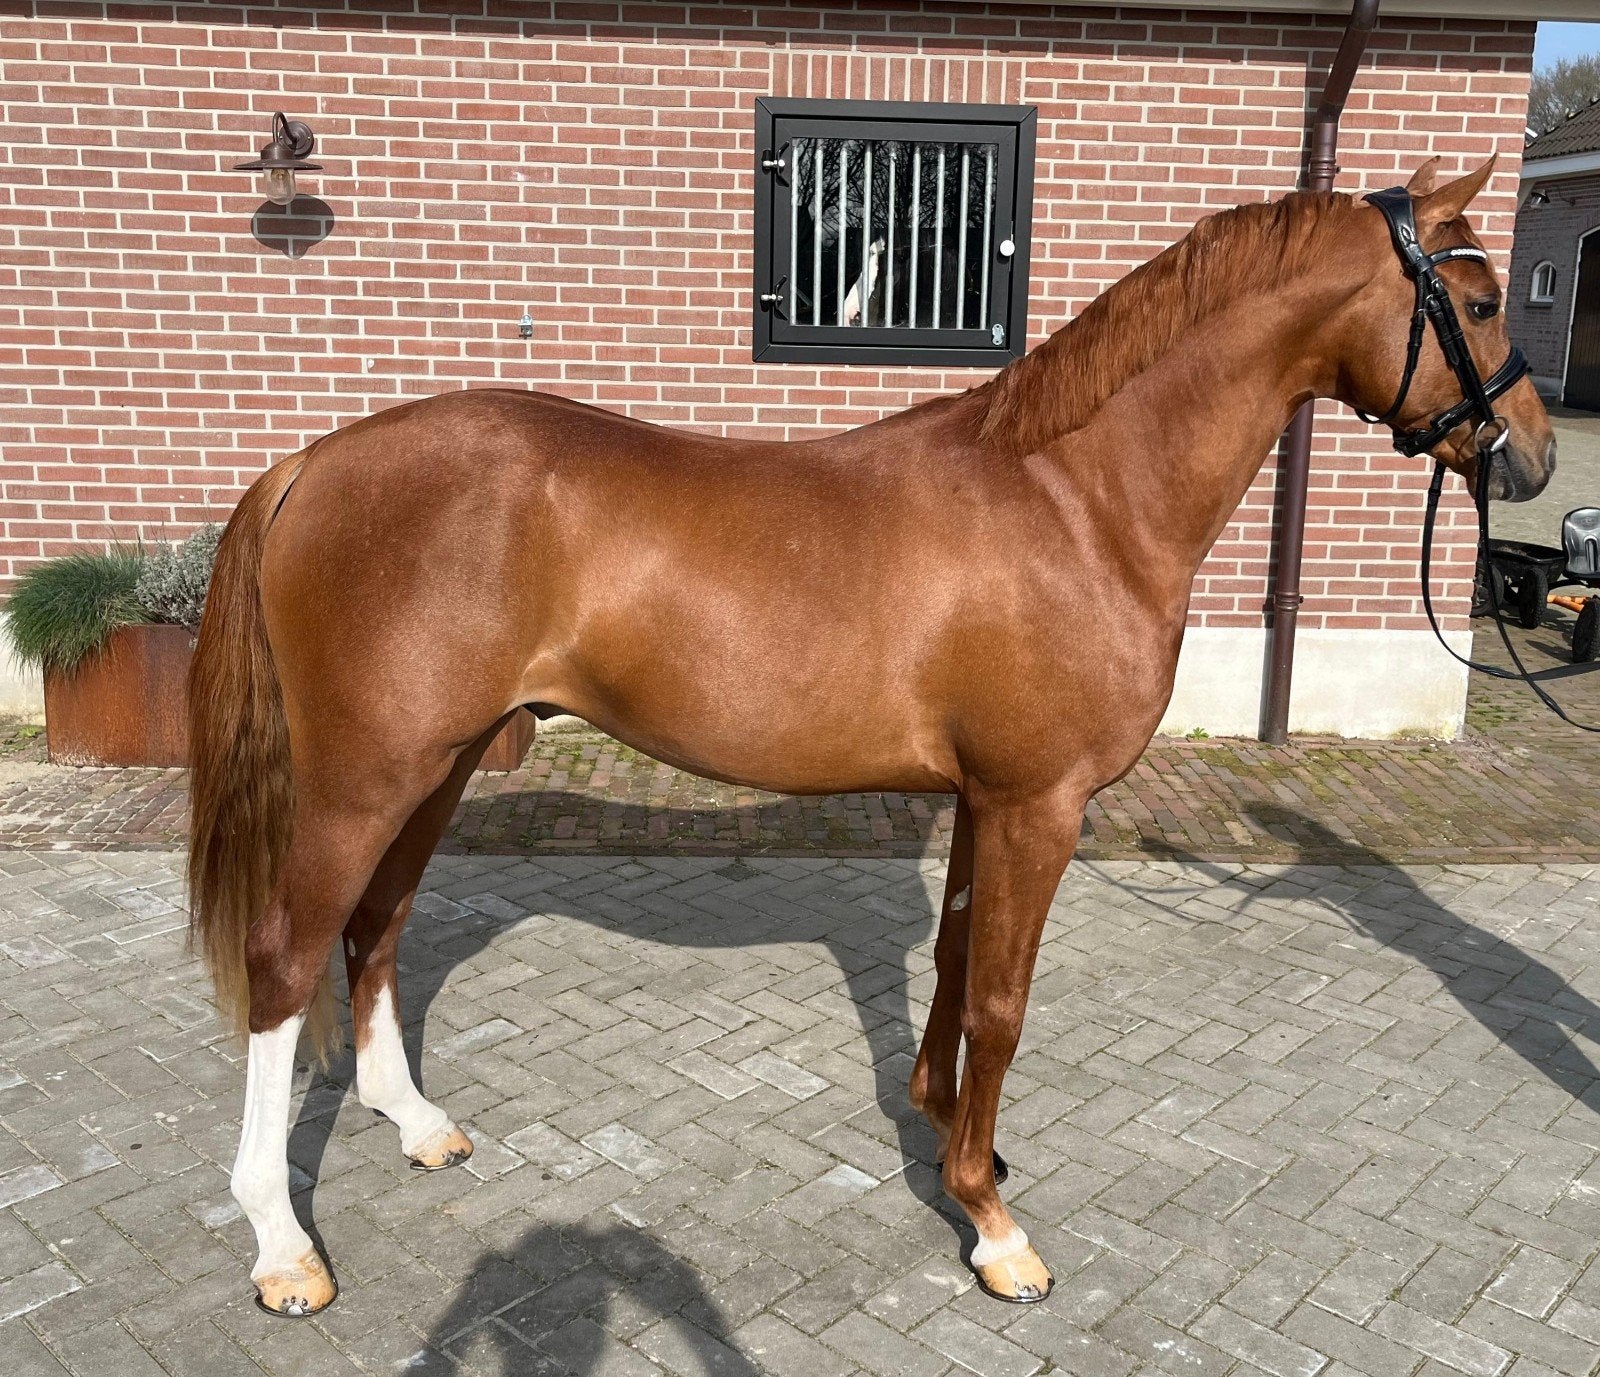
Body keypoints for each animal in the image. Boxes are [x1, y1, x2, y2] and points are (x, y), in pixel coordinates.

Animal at [187, 155, 1554, 1316]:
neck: (1077, 499)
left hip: (439, 765)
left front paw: (950, 1133)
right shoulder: (1038, 804)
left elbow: (951, 966)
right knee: (283, 959)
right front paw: (994, 1228)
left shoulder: (983, 800)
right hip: (366, 779)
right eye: (1481, 299)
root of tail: (314, 463)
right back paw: (281, 1246)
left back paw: (415, 1125)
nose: (1532, 457)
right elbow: (999, 1000)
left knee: (376, 927)